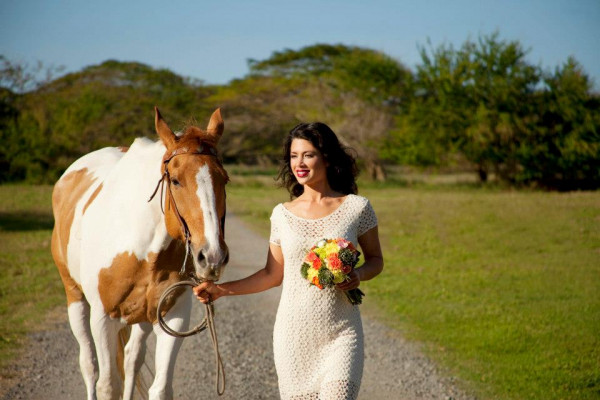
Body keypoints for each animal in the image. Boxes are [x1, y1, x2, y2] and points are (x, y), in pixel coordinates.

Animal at [51, 107, 230, 400]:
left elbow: (160, 387)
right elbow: (107, 385)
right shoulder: (103, 319)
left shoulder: (174, 316)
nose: (212, 256)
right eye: (175, 181)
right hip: (74, 297)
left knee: (132, 359)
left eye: (224, 179)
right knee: (89, 365)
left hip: (143, 317)